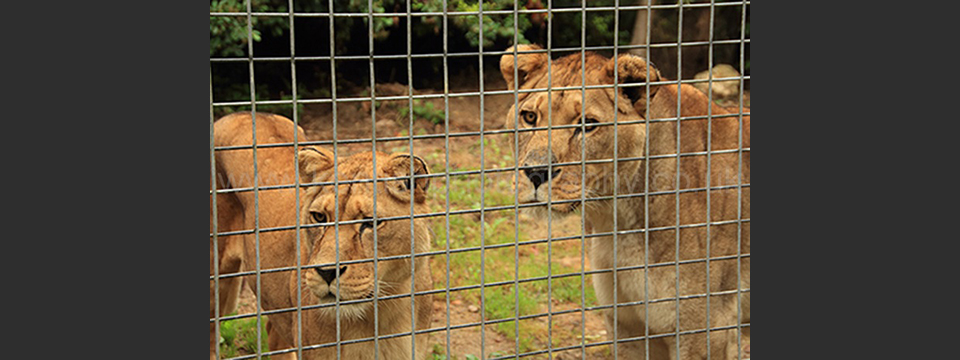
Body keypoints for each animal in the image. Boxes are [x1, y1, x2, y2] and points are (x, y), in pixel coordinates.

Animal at [498, 45, 752, 360]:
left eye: (587, 125)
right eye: (530, 117)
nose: (535, 173)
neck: (616, 221)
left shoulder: (705, 330)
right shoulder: (628, 326)